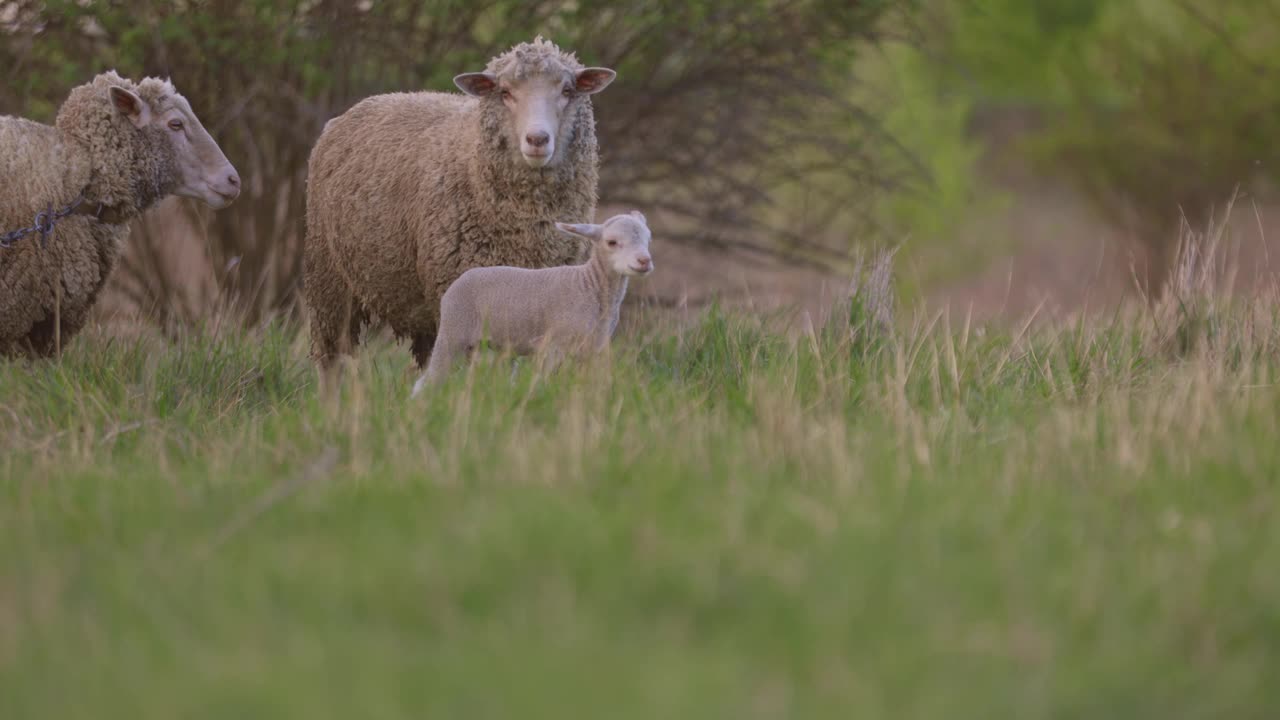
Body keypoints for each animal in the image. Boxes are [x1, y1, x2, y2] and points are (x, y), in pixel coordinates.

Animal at [302, 35, 616, 381]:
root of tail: (365, 104)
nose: (537, 139)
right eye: (504, 92)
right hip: (329, 278)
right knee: (332, 358)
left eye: (567, 91)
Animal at [412, 210, 655, 394]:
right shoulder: (553, 344)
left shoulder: (594, 347)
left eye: (648, 239)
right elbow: (543, 382)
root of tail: (458, 281)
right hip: (453, 329)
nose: (644, 261)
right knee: (428, 380)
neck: (590, 285)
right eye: (612, 242)